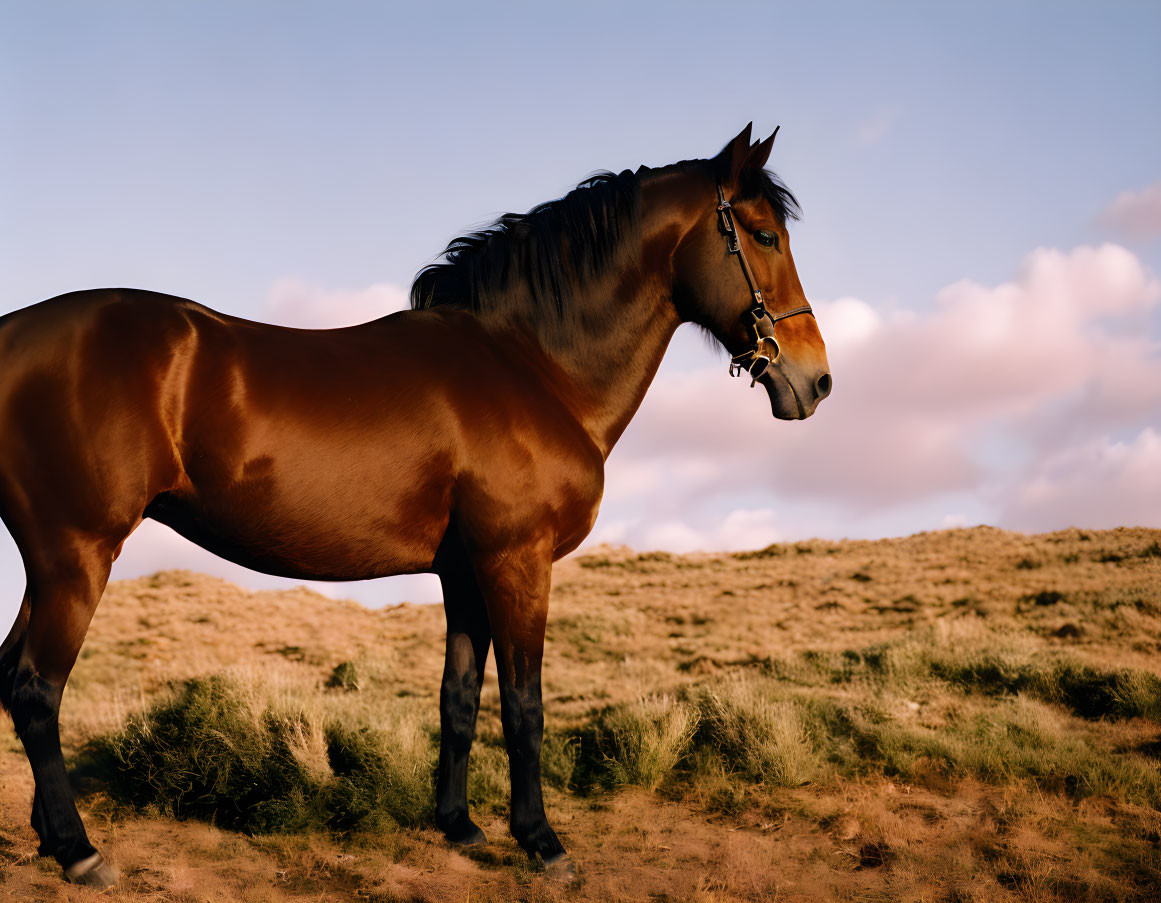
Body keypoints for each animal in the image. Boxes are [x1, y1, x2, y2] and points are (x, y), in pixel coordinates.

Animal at [0, 123, 835, 882]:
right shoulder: (517, 563)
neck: (529, 362)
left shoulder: (464, 572)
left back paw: (51, 838)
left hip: (50, 563)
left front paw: (459, 826)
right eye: (762, 234)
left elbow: (458, 700)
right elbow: (524, 707)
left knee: (16, 678)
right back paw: (78, 851)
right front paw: (542, 843)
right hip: (77, 554)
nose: (815, 381)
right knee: (38, 689)